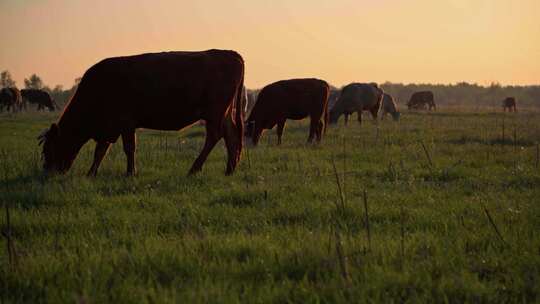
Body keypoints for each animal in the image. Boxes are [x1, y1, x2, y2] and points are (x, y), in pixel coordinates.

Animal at [39, 49, 246, 176]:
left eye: (49, 149)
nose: (47, 172)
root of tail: (228, 53)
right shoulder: (111, 128)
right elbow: (101, 151)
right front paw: (91, 173)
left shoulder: (124, 123)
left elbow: (128, 148)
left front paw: (130, 173)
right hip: (224, 113)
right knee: (231, 134)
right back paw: (229, 170)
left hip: (214, 112)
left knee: (214, 136)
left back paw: (194, 169)